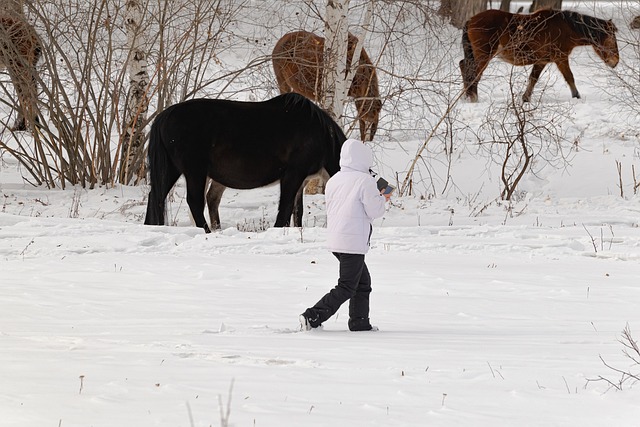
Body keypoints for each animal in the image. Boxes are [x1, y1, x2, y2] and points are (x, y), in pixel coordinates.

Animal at [460, 8, 620, 103]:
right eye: (611, 39)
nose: (615, 61)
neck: (565, 28)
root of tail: (471, 20)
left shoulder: (542, 61)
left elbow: (533, 79)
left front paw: (525, 99)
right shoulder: (561, 59)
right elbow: (570, 77)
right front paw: (576, 96)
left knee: (464, 67)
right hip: (484, 55)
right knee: (473, 74)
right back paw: (473, 97)